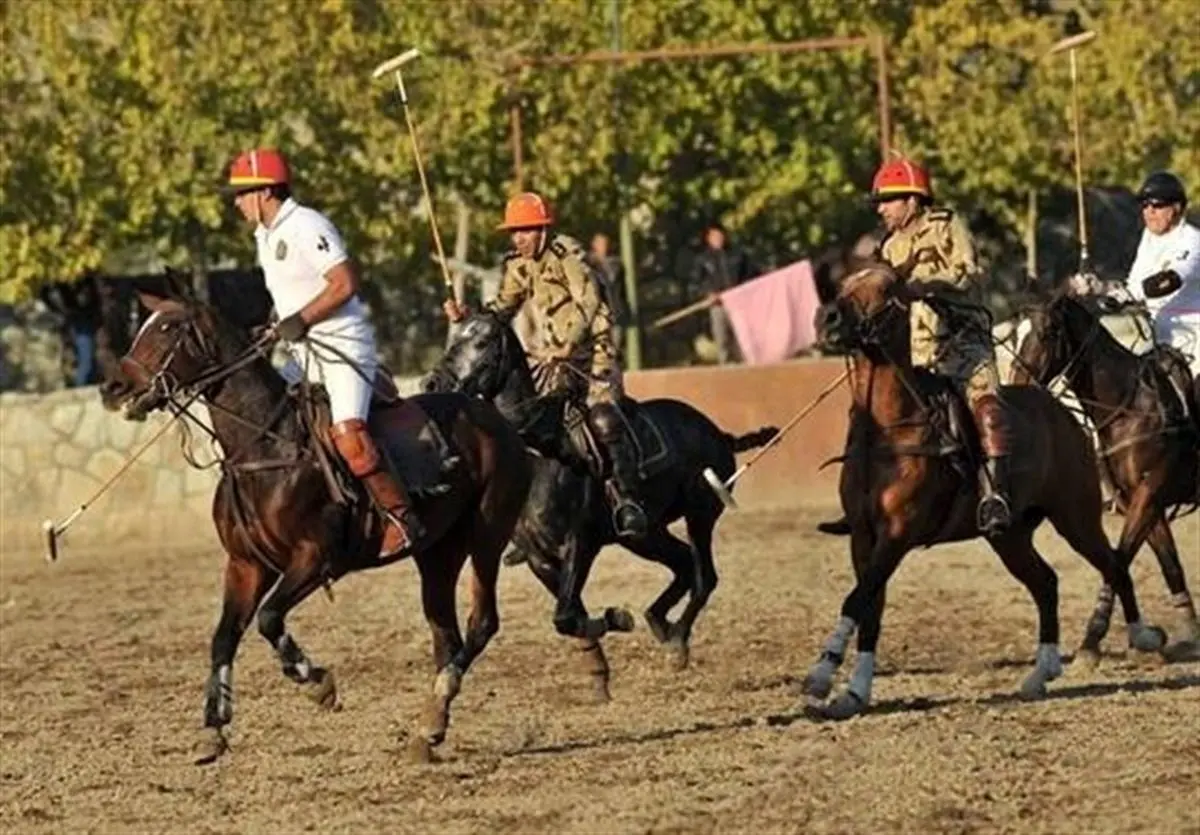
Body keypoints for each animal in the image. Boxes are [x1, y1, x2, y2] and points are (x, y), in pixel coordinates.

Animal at [100, 285, 532, 763]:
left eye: (166, 327)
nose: (113, 387)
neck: (264, 449)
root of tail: (496, 419)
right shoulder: (246, 565)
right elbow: (224, 636)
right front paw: (214, 727)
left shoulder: (315, 558)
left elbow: (269, 618)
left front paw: (317, 682)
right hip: (437, 551)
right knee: (445, 633)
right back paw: (431, 723)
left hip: (488, 534)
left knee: (482, 622)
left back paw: (438, 701)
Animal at [422, 311, 777, 691]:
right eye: (454, 337)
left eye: (481, 341)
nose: (431, 383)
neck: (539, 453)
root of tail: (719, 434)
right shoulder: (538, 558)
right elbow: (571, 612)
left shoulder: (582, 542)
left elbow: (566, 615)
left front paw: (618, 618)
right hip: (643, 535)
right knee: (682, 562)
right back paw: (659, 622)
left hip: (700, 514)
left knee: (704, 576)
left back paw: (677, 640)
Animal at [796, 262, 1161, 719]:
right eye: (845, 283)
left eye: (885, 287)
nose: (826, 318)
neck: (888, 432)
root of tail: (1063, 412)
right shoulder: (864, 537)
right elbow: (870, 607)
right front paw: (854, 692)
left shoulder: (897, 534)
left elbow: (856, 600)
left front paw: (820, 675)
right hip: (1008, 534)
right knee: (1046, 582)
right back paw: (1041, 673)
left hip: (1075, 515)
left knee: (1114, 563)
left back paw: (1141, 636)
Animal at [1012, 290, 1200, 662]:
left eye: (1047, 333)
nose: (1016, 384)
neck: (1132, 407)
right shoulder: (1144, 501)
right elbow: (1168, 566)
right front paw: (1187, 633)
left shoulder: (1148, 494)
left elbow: (1118, 559)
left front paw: (1093, 637)